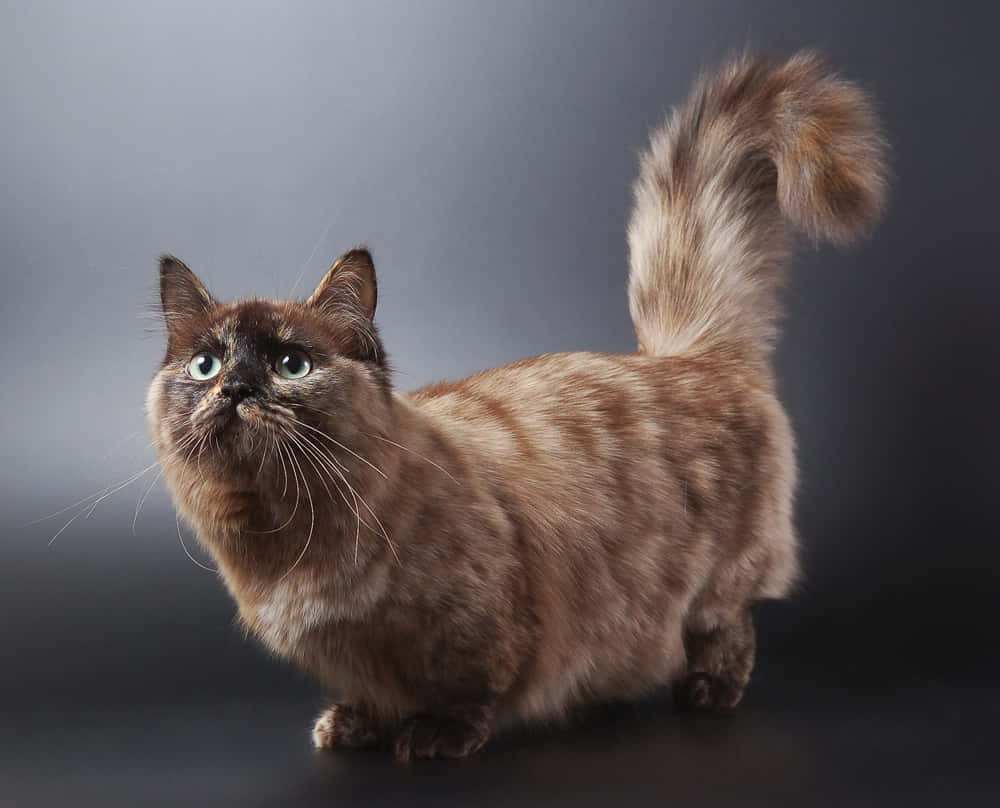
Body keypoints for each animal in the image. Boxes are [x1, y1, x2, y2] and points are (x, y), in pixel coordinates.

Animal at [146, 50, 884, 756]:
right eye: (206, 364)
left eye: (291, 364)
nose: (237, 388)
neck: (287, 542)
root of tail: (695, 353)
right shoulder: (353, 653)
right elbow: (374, 692)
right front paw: (357, 726)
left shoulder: (479, 617)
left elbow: (469, 687)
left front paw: (436, 736)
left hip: (720, 583)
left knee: (728, 629)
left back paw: (706, 692)